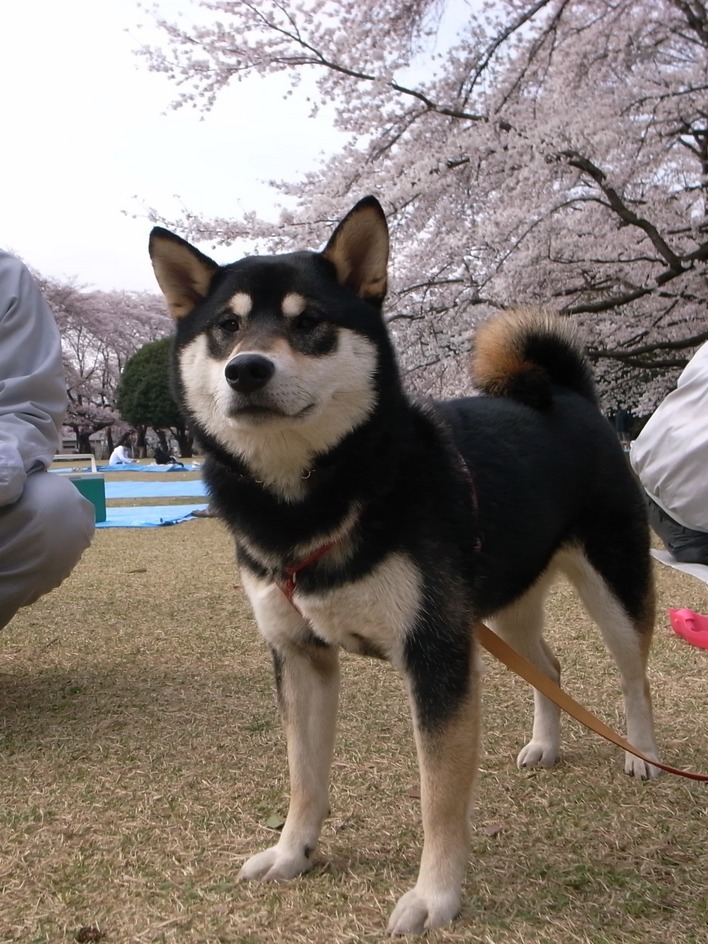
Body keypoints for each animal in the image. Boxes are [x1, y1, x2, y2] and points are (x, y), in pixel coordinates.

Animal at [148, 197, 659, 934]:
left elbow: (439, 798)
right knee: (550, 666)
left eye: (309, 323)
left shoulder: (435, 651)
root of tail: (573, 399)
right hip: (504, 601)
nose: (246, 369)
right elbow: (304, 777)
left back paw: (643, 755)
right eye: (226, 327)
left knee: (633, 674)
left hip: (610, 583)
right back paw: (547, 745)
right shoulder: (299, 654)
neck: (309, 504)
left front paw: (435, 897)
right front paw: (293, 854)